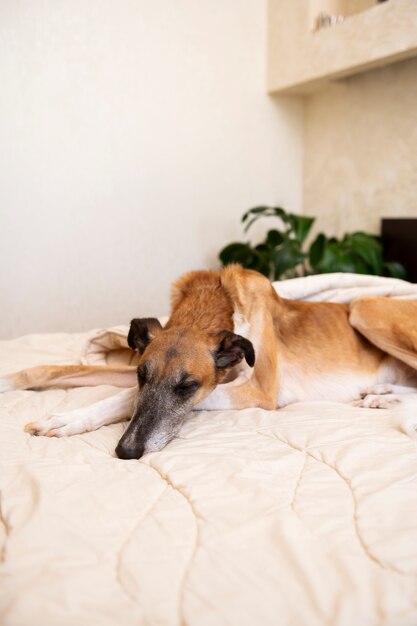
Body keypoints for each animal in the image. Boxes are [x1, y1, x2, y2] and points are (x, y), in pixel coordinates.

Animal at [0, 264, 416, 458]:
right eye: (141, 375)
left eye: (187, 386)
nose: (126, 451)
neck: (217, 307)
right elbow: (59, 370)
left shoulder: (259, 389)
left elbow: (125, 400)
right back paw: (381, 395)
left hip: (362, 307)